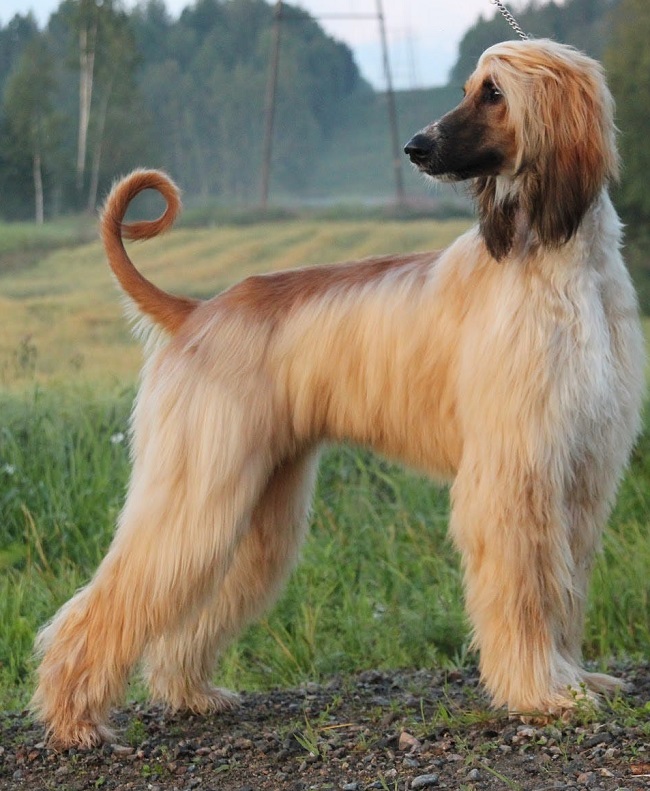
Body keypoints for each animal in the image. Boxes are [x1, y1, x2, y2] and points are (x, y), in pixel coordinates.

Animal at [33, 39, 644, 748]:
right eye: (470, 87)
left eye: (493, 93)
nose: (416, 147)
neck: (561, 263)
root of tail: (196, 313)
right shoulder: (514, 467)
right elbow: (527, 590)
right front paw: (540, 692)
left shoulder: (581, 467)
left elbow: (565, 587)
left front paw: (573, 675)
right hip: (198, 485)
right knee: (117, 594)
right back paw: (74, 718)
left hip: (259, 497)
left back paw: (188, 691)